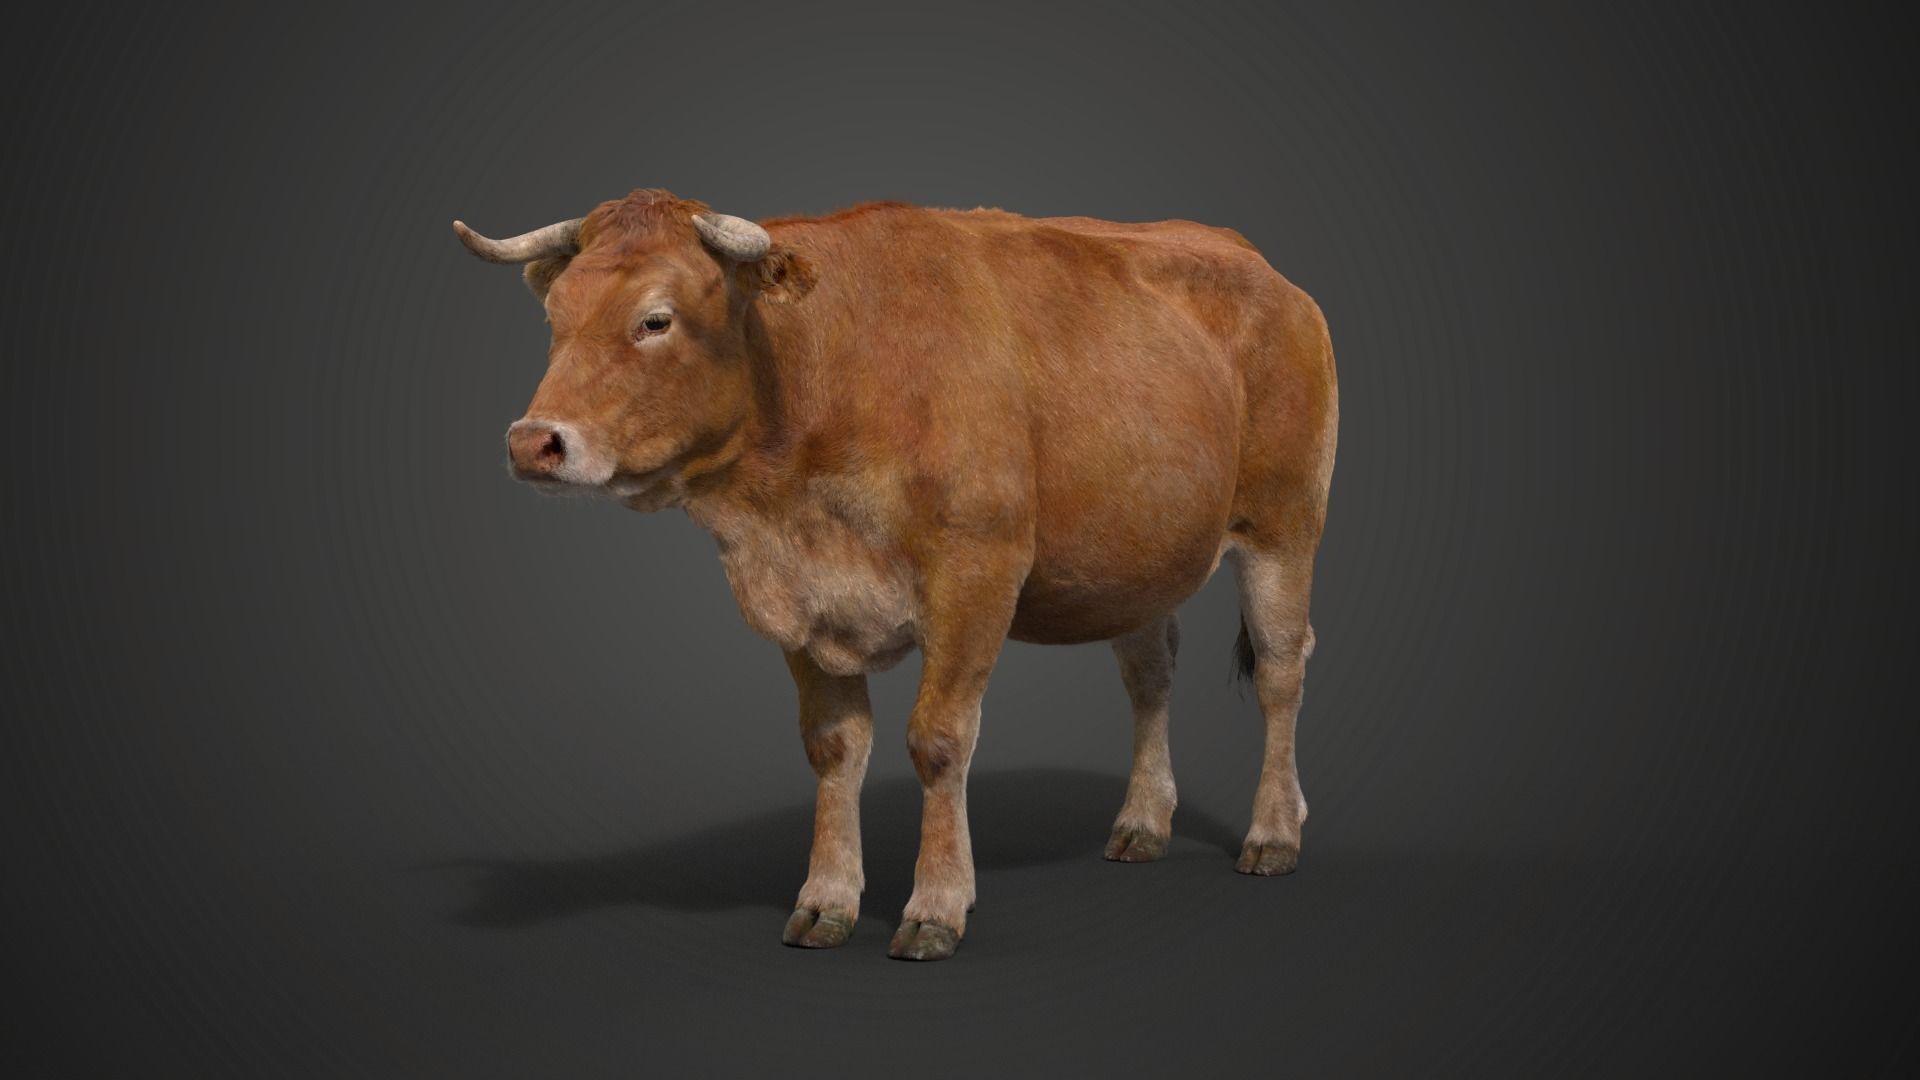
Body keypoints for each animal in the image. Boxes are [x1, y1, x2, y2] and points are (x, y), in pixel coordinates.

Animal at [452, 188, 1337, 960]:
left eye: (655, 319)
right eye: (555, 318)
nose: (532, 442)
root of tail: (1260, 265)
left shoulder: (977, 573)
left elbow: (938, 740)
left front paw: (936, 907)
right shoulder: (800, 599)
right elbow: (834, 747)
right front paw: (827, 899)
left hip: (1284, 526)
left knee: (1281, 670)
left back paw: (1273, 832)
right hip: (1140, 556)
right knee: (1151, 675)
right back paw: (1142, 824)